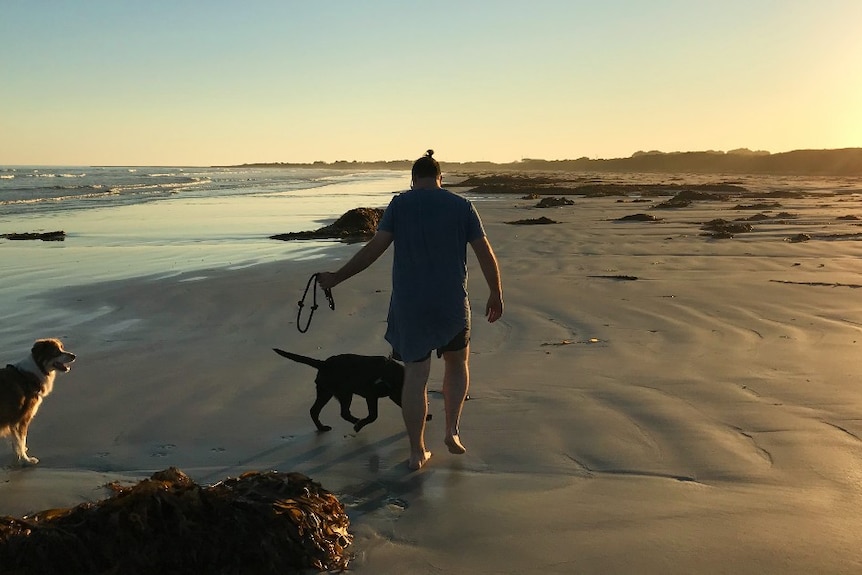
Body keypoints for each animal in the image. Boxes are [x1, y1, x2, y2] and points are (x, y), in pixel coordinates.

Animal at [274, 348, 422, 434]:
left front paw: (425, 417)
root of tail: (323, 363)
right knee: (343, 412)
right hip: (344, 393)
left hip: (326, 392)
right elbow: (373, 415)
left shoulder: (395, 395)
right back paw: (356, 422)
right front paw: (360, 424)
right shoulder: (371, 395)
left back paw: (322, 428)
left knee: (315, 410)